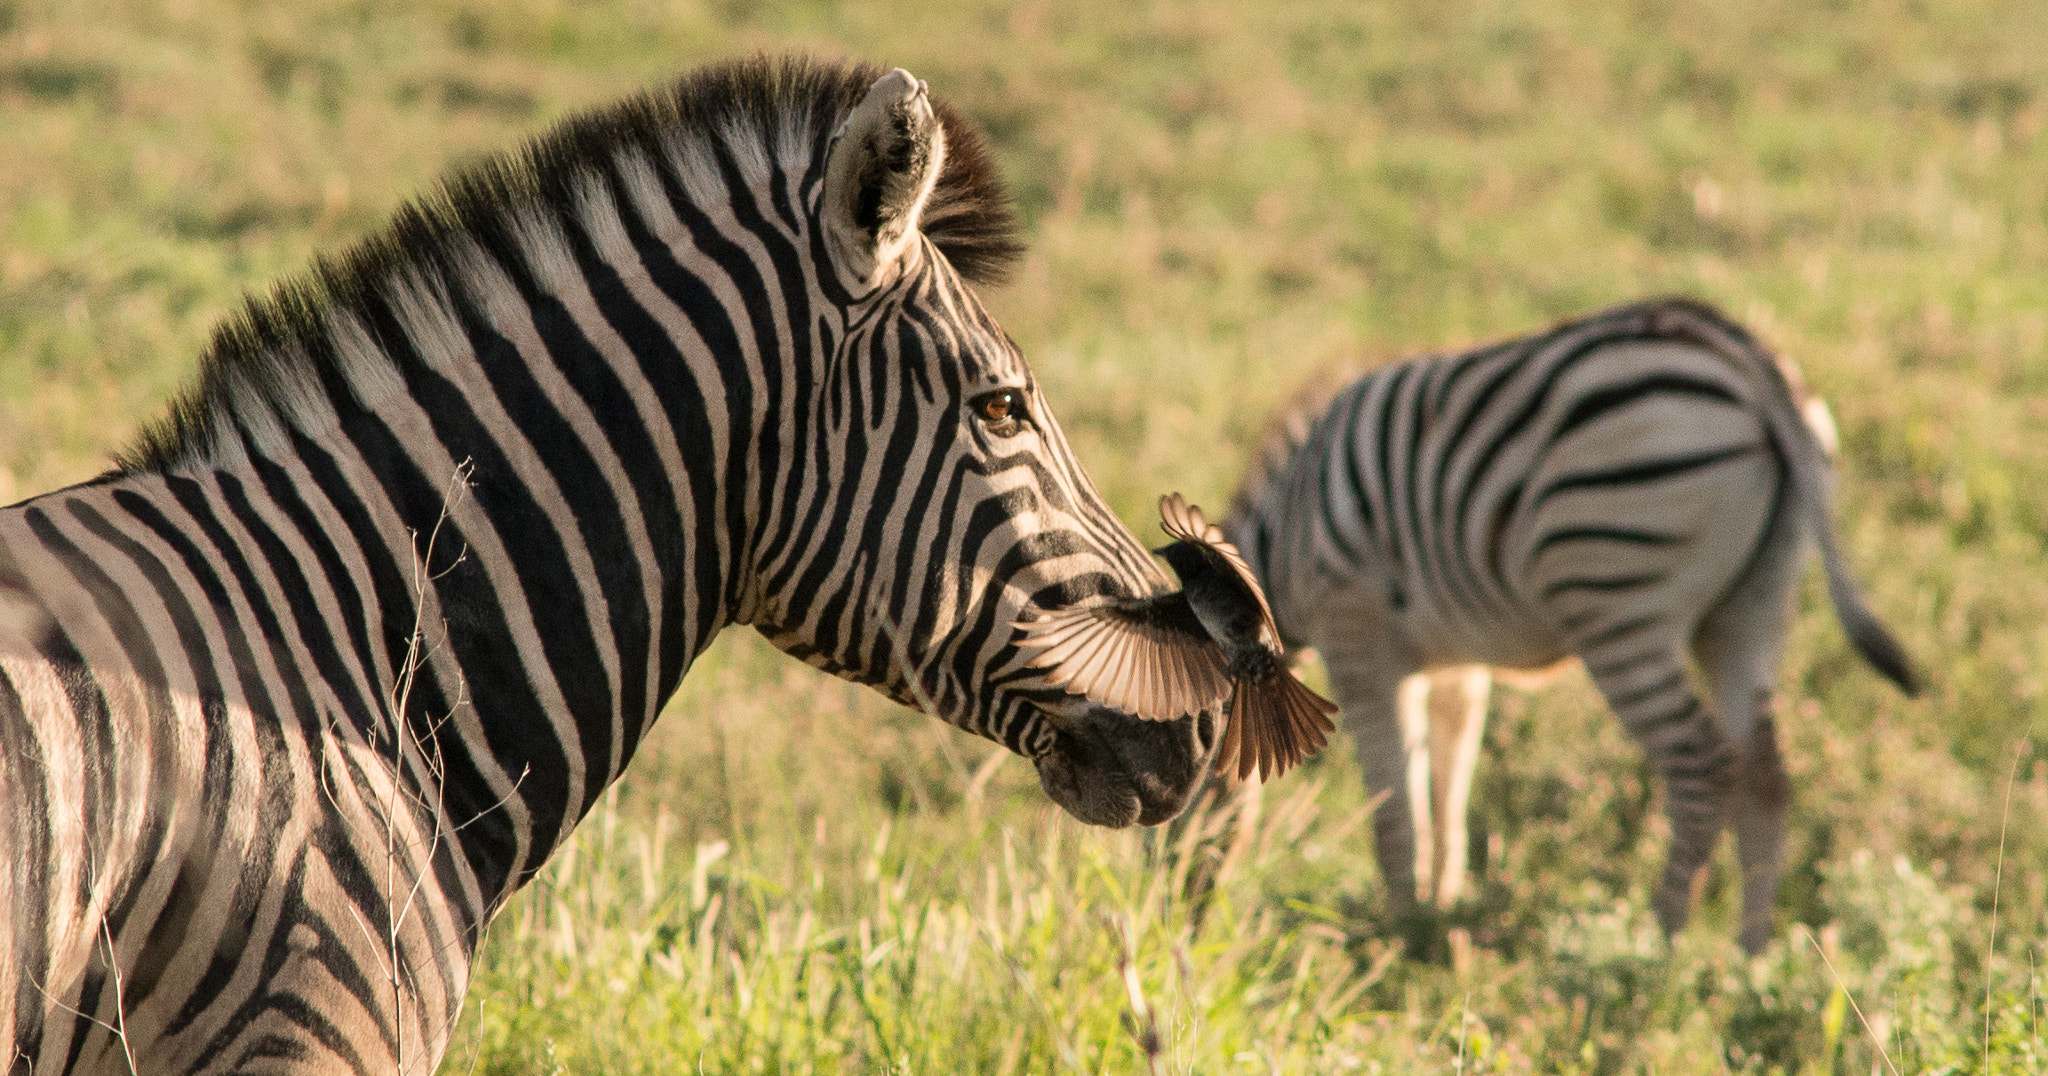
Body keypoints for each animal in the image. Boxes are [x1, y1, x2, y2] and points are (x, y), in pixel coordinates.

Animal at [1228, 297, 1916, 950]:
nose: (1205, 908)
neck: (1288, 539)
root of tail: (1746, 358)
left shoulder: (1360, 641)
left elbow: (1393, 809)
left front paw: (1397, 930)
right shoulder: (1453, 663)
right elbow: (1448, 792)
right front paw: (1437, 912)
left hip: (1616, 597)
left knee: (1702, 766)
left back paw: (1653, 950)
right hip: (1754, 606)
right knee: (1765, 775)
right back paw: (1749, 961)